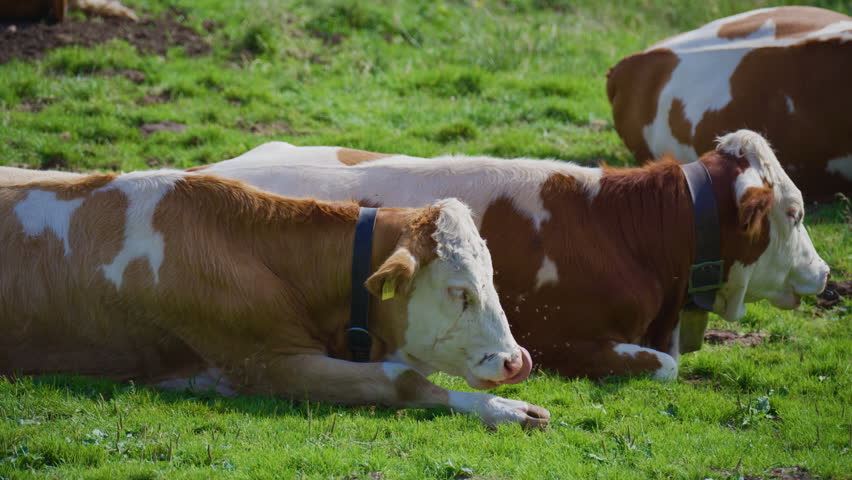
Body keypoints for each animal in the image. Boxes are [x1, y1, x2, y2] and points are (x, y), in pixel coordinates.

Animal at [0, 170, 549, 429]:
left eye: (492, 276)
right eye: (459, 291)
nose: (515, 361)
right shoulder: (268, 363)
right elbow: (401, 380)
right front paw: (506, 409)